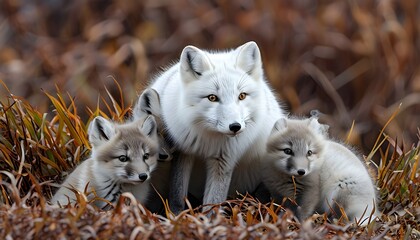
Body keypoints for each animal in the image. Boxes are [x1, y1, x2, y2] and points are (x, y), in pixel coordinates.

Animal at [144, 41, 286, 214]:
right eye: (212, 98)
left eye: (242, 96)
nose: (235, 126)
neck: (208, 140)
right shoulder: (183, 151)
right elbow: (177, 194)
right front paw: (176, 215)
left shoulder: (224, 161)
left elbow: (214, 202)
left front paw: (208, 220)